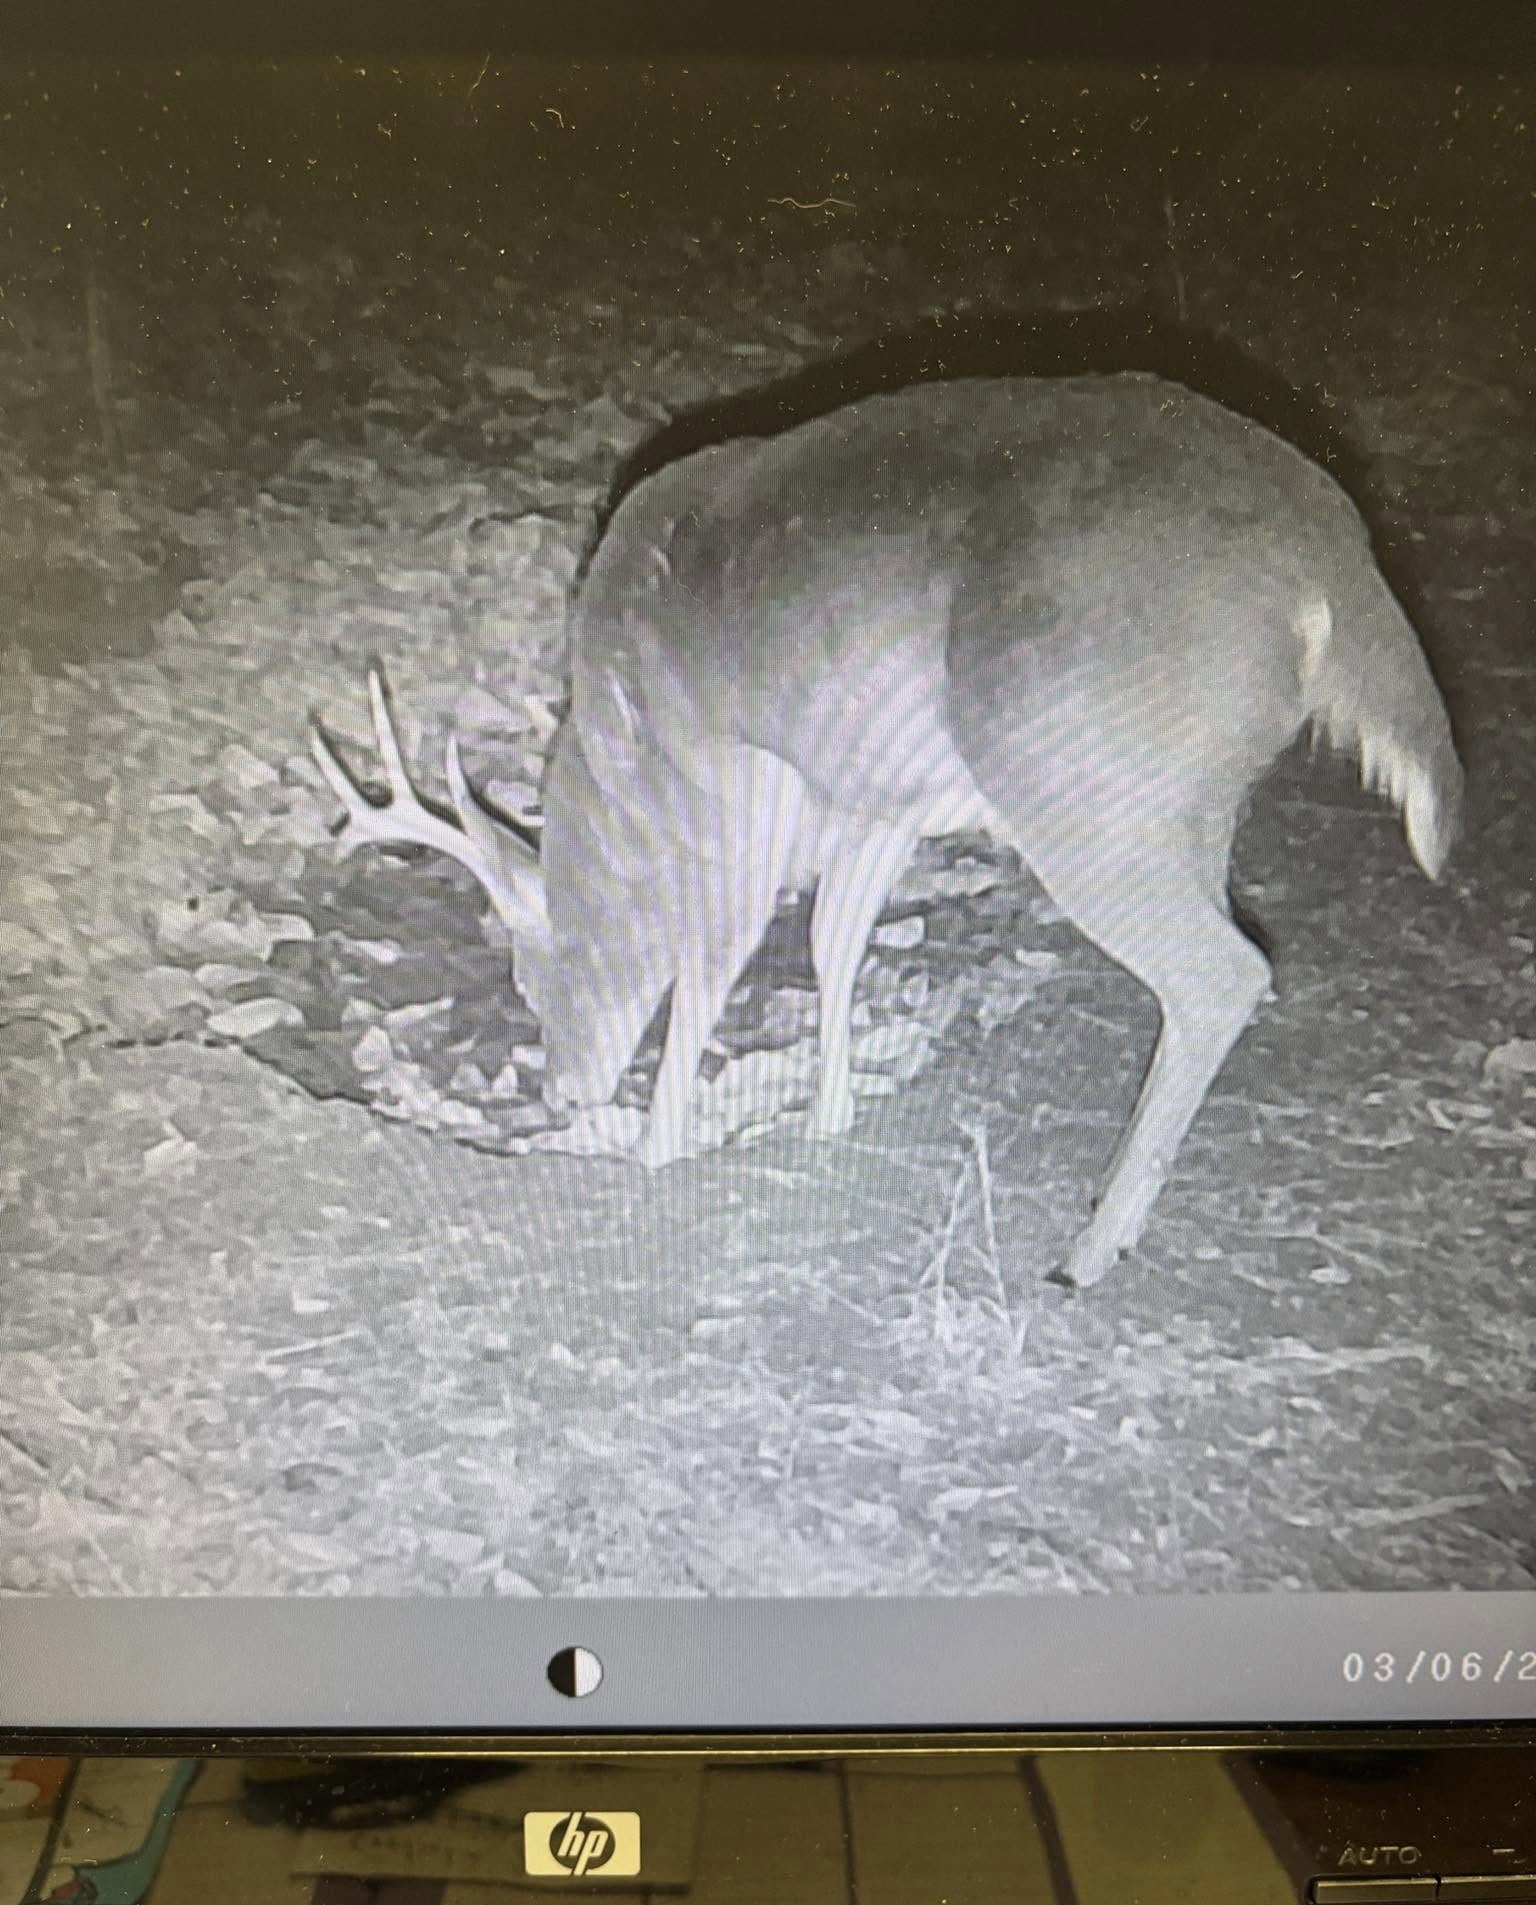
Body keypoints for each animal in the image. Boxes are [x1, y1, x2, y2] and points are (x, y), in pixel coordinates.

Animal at [310, 371, 1462, 1289]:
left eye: (529, 971)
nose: (561, 1088)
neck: (617, 758)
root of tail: (1332, 570)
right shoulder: (875, 798)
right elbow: (835, 947)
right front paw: (825, 1119)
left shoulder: (738, 785)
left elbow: (710, 968)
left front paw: (658, 1149)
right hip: (1193, 799)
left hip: (1081, 784)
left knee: (1224, 973)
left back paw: (1088, 1249)